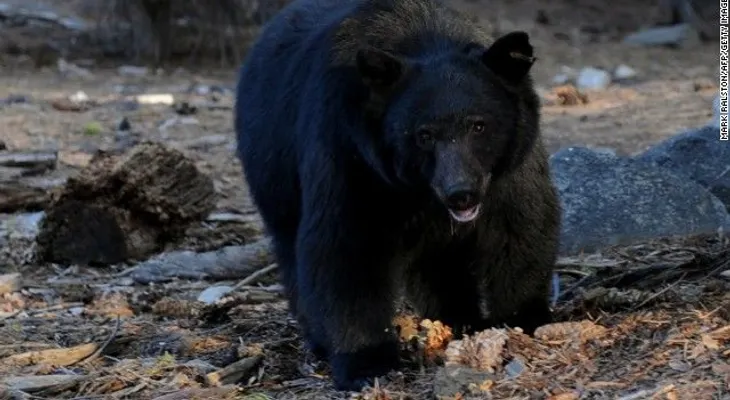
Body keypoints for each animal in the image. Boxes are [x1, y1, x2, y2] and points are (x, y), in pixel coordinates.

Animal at [234, 0, 561, 391]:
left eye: (479, 125)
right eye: (424, 135)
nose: (461, 194)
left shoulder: (509, 169)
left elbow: (520, 226)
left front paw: (523, 318)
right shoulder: (351, 152)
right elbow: (346, 247)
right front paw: (365, 361)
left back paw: (457, 317)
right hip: (273, 171)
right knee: (290, 248)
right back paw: (318, 339)